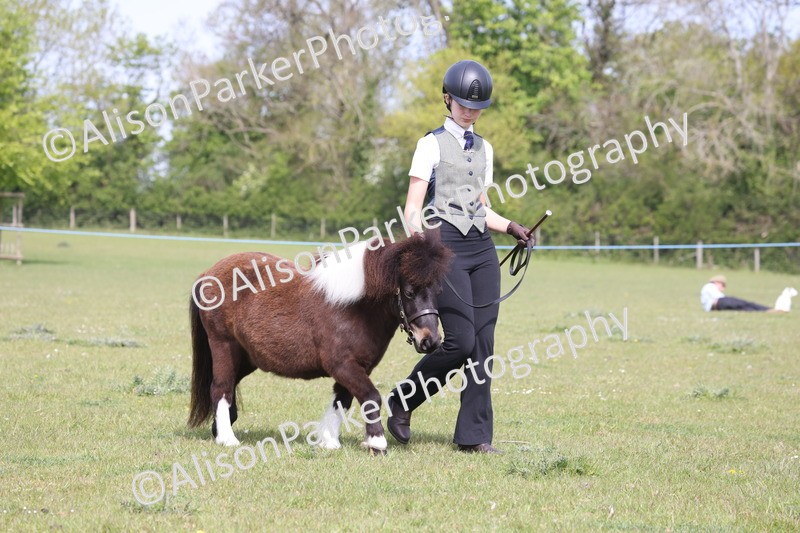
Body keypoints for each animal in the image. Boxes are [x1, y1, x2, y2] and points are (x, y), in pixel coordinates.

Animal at [188, 230, 453, 454]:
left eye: (438, 291)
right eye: (409, 292)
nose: (430, 340)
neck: (352, 308)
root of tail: (207, 274)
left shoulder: (358, 367)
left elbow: (342, 401)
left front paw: (329, 441)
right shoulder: (343, 365)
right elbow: (370, 396)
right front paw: (376, 443)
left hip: (247, 357)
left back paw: (219, 430)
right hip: (223, 345)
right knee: (220, 387)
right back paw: (227, 438)